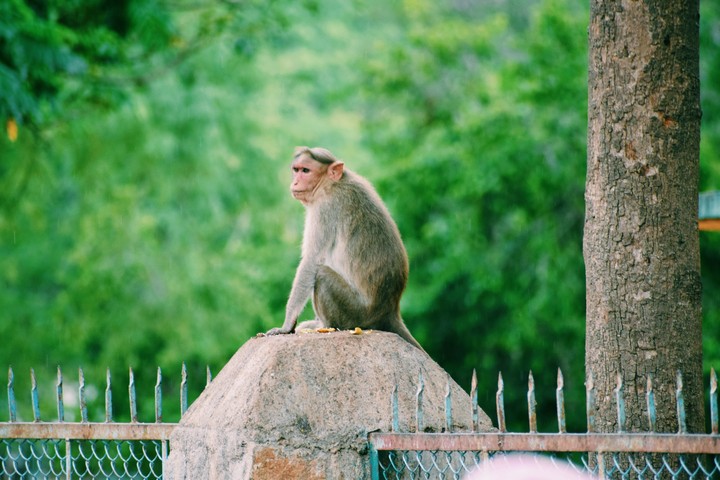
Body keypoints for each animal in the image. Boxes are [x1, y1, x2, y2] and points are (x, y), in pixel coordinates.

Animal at [265, 146, 423, 350]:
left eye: (306, 171)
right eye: (296, 169)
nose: (295, 181)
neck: (331, 183)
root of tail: (389, 309)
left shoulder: (324, 208)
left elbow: (311, 261)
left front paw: (286, 326)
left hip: (356, 313)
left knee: (322, 274)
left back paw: (326, 325)